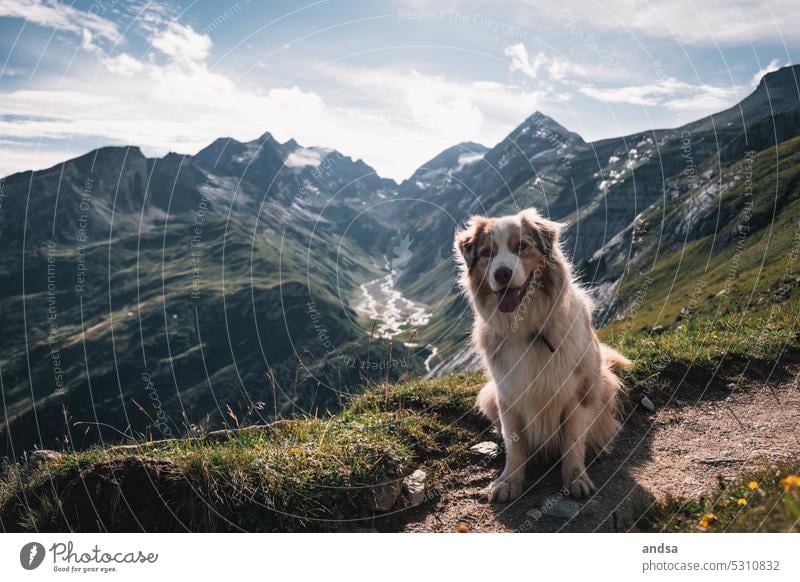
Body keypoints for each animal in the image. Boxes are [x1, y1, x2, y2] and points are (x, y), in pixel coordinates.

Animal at [456, 208, 632, 504]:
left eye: (521, 247)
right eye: (486, 253)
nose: (502, 274)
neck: (528, 328)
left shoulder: (576, 393)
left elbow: (573, 442)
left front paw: (576, 479)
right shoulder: (507, 395)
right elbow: (515, 446)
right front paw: (508, 481)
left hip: (603, 382)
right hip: (488, 394)